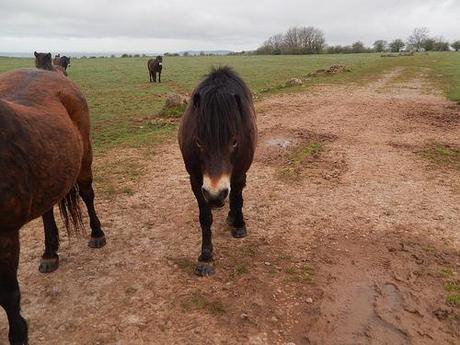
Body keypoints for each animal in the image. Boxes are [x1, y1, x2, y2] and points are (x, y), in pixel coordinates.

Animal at [0, 68, 106, 342]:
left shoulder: (6, 236)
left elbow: (8, 295)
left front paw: (19, 335)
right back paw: (49, 252)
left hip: (84, 160)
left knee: (87, 195)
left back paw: (97, 234)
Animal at [178, 66, 256, 276]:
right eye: (198, 141)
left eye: (234, 141)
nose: (215, 194)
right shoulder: (196, 180)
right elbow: (205, 217)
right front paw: (206, 257)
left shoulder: (239, 174)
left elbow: (237, 199)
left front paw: (239, 225)